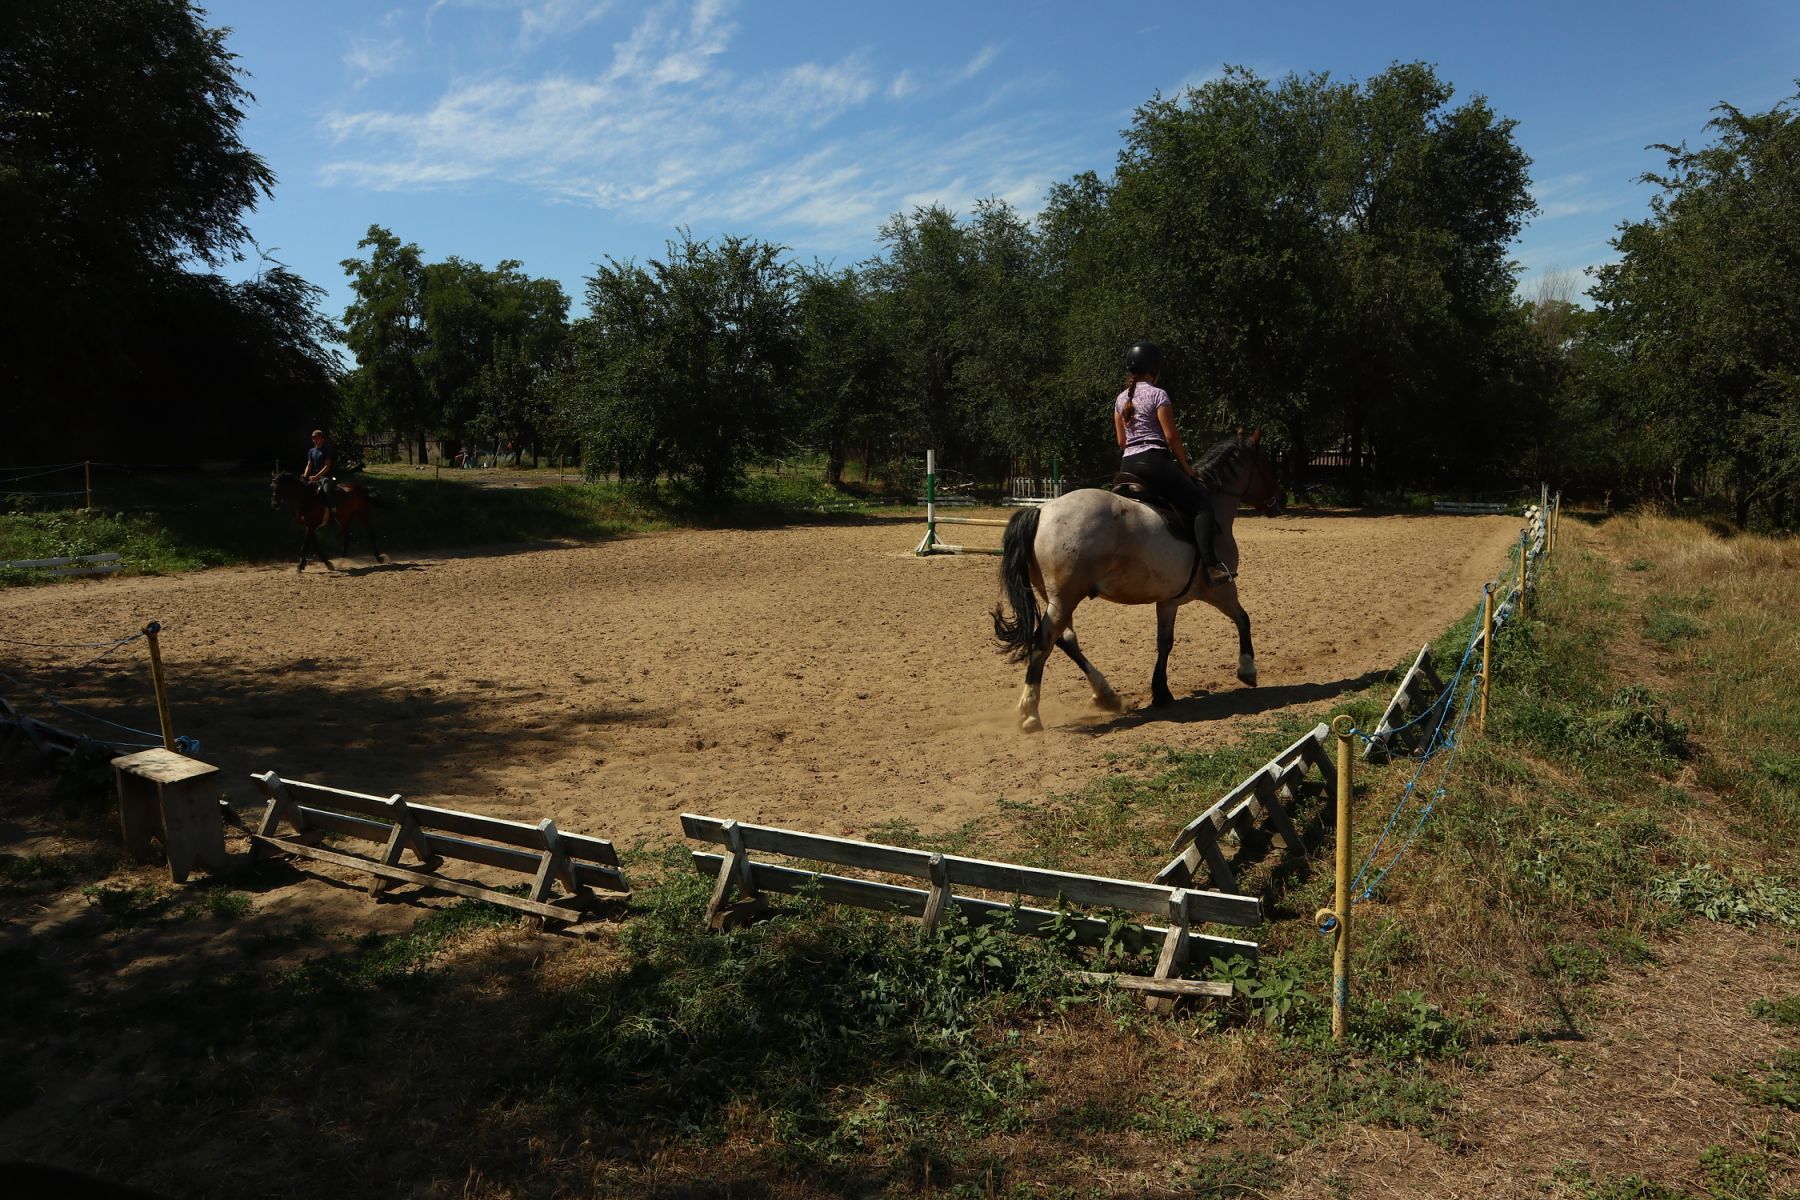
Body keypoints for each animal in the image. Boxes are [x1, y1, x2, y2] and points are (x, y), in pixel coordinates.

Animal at [993, 431, 1288, 734]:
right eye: (1266, 463)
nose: (1281, 499)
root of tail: (1041, 511)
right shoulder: (1222, 590)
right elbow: (1243, 619)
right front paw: (1247, 670)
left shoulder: (1169, 600)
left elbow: (1164, 642)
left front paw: (1161, 692)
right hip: (1065, 598)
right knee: (1044, 641)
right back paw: (1030, 713)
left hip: (1056, 597)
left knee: (1065, 640)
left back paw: (1106, 696)